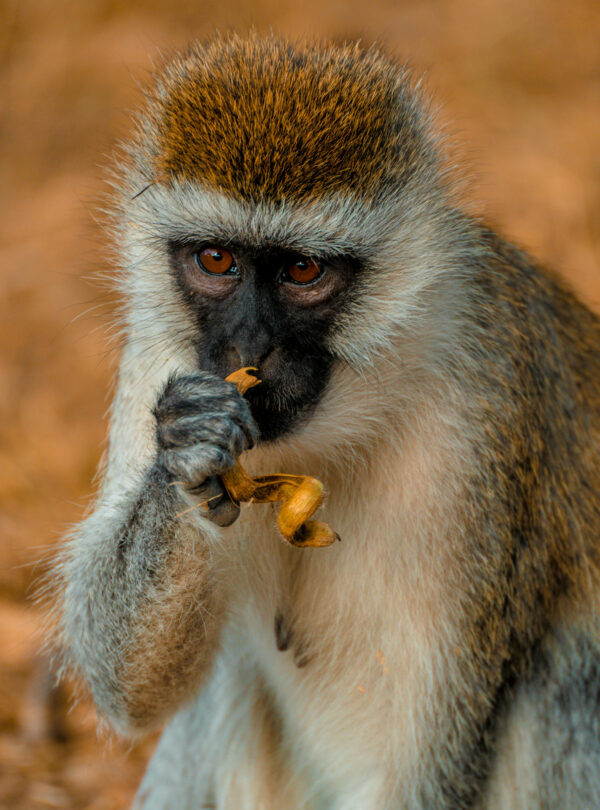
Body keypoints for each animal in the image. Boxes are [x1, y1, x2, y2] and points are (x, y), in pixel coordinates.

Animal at [52, 33, 600, 809]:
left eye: (304, 271)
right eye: (216, 259)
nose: (249, 350)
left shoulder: (485, 411)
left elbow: (436, 754)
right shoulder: (156, 359)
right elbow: (125, 684)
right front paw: (191, 448)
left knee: (564, 673)